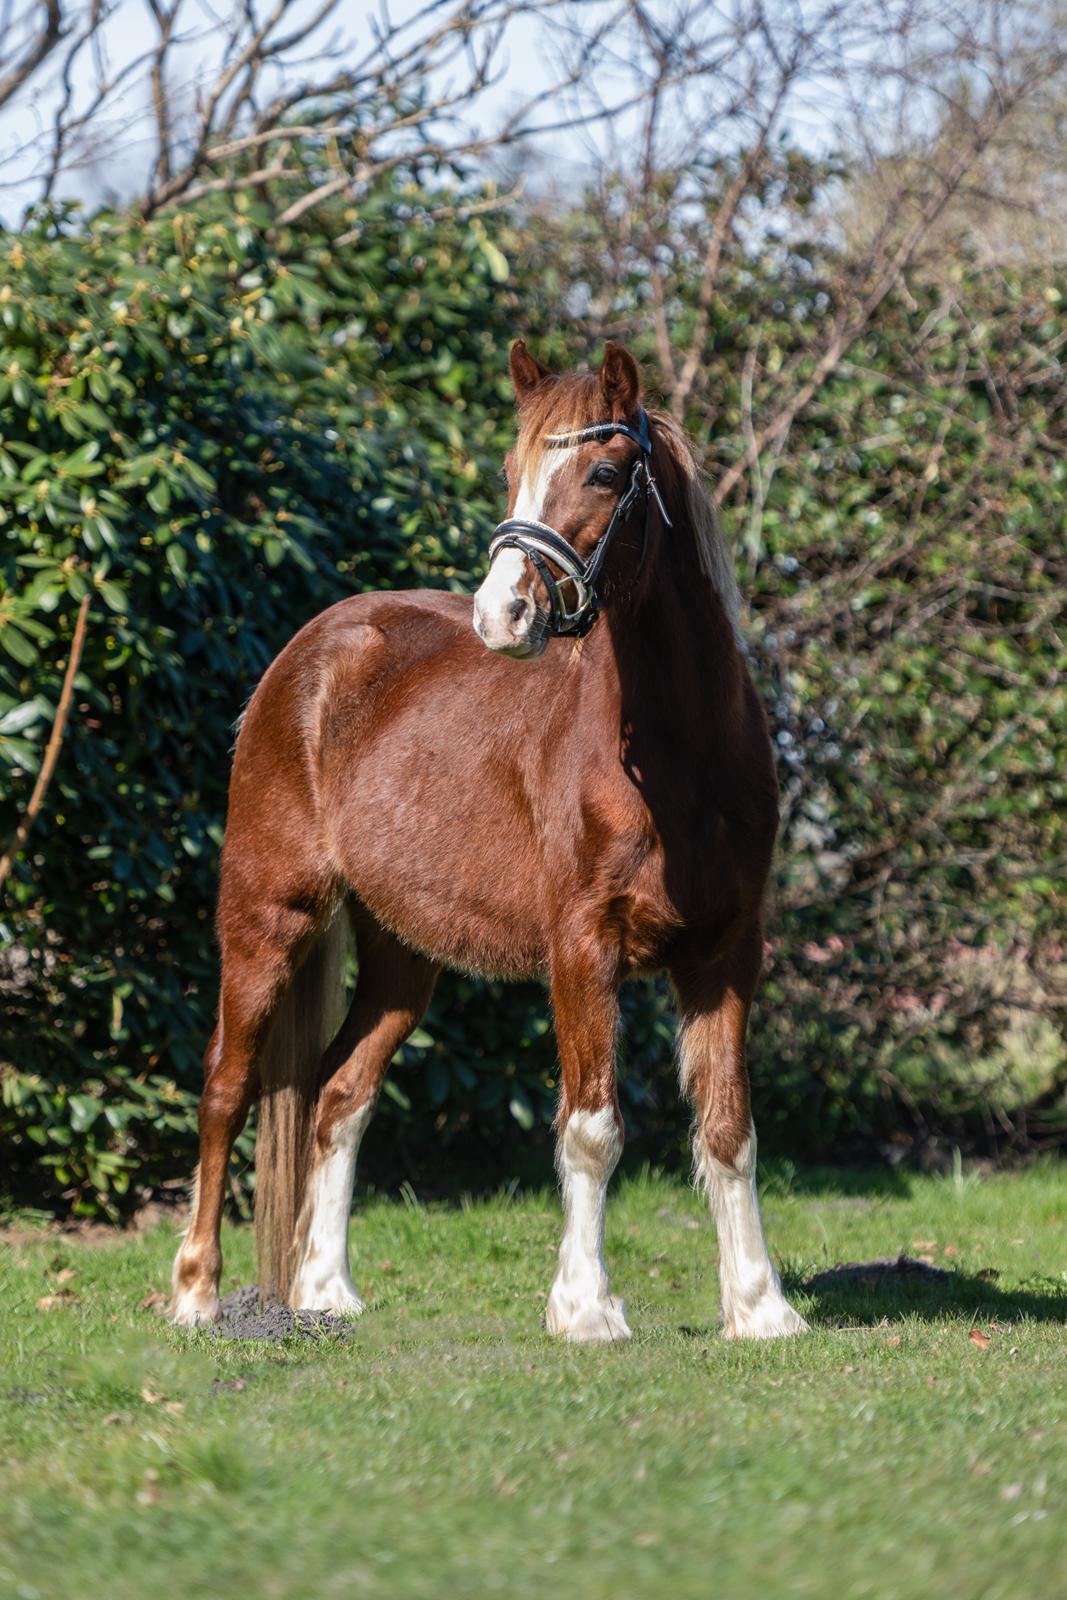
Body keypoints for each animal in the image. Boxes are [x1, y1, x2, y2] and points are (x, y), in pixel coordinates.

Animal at [170, 338, 807, 1342]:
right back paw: (194, 1294)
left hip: (403, 954)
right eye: (513, 470)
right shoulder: (582, 949)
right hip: (267, 918)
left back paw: (326, 1290)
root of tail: (306, 654)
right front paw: (584, 1309)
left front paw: (758, 1306)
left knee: (338, 1094)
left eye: (602, 472)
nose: (500, 614)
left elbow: (728, 1128)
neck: (679, 760)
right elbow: (590, 1129)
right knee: (226, 1087)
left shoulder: (727, 953)